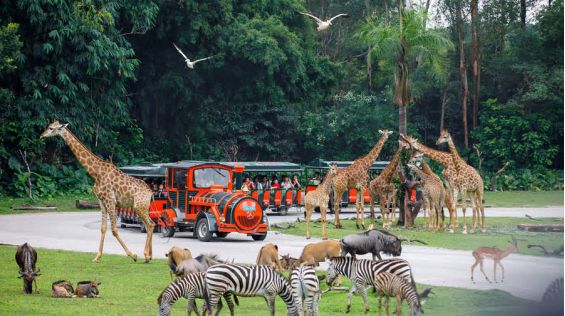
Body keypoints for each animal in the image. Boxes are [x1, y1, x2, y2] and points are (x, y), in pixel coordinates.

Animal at [40, 120, 155, 262]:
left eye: (51, 128)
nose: (41, 136)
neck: (96, 173)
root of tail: (150, 193)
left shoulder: (110, 200)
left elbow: (114, 230)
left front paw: (133, 255)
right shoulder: (101, 201)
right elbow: (103, 228)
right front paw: (97, 257)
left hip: (139, 206)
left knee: (150, 224)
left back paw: (145, 255)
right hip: (142, 207)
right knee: (151, 224)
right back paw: (149, 255)